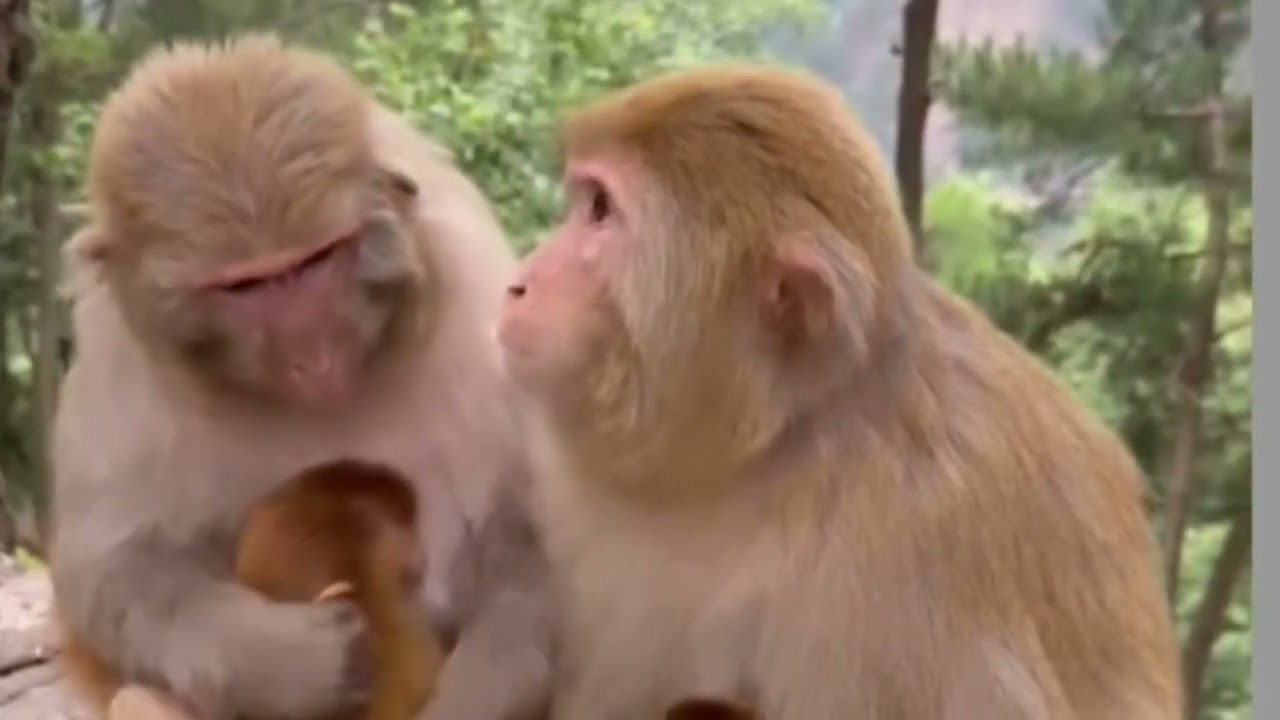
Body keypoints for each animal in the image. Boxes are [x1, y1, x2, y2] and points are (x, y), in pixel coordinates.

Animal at [50, 34, 552, 720]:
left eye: (319, 258)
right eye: (244, 286)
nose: (312, 350)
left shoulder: (479, 297)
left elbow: (535, 545)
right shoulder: (118, 355)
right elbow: (108, 568)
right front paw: (280, 661)